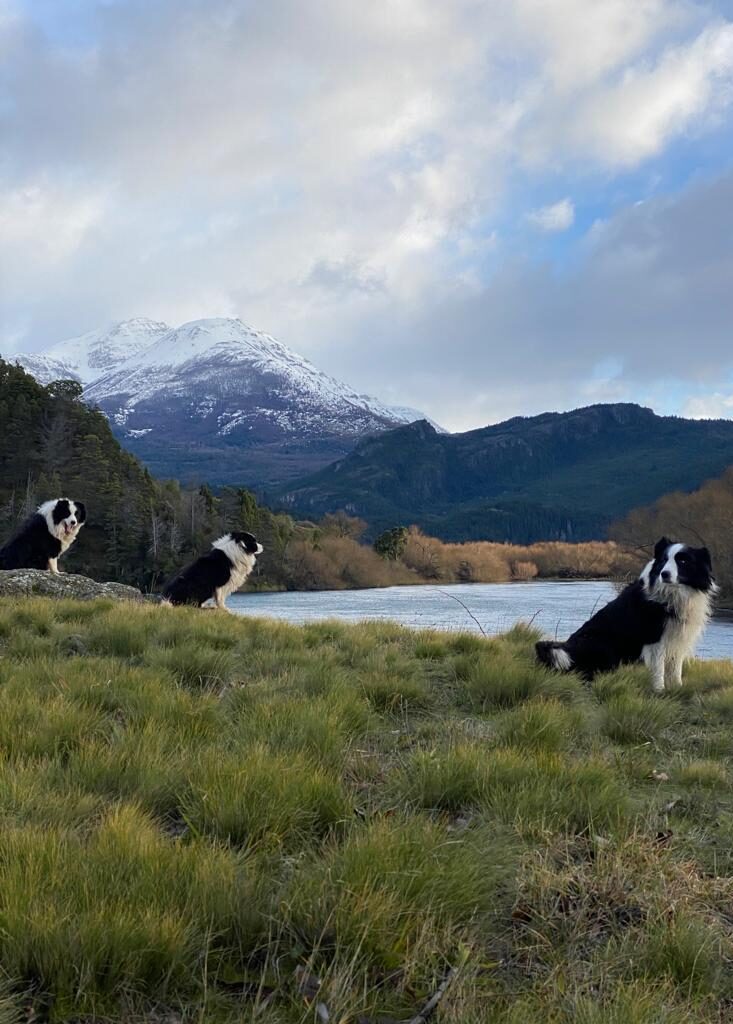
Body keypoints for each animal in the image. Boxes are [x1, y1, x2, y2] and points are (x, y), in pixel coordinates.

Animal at [532, 540, 716, 692]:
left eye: (683, 561)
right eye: (663, 560)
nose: (664, 574)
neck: (674, 593)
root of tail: (569, 650)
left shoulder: (678, 636)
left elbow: (676, 668)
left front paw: (678, 688)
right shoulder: (654, 639)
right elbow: (659, 669)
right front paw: (660, 691)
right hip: (601, 643)